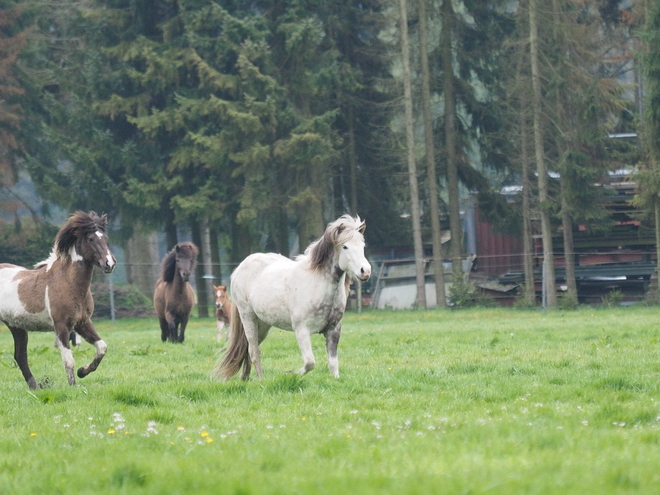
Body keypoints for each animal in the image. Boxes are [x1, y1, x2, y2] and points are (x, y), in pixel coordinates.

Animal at [0, 211, 116, 390]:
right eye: (91, 239)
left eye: (105, 238)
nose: (109, 263)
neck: (68, 283)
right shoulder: (61, 326)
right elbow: (68, 360)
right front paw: (73, 386)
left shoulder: (82, 322)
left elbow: (102, 347)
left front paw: (83, 371)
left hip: (16, 326)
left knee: (20, 356)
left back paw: (34, 386)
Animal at [215, 215, 372, 382]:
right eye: (345, 246)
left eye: (362, 246)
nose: (365, 271)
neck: (319, 285)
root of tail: (239, 268)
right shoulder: (301, 330)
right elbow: (310, 363)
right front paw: (290, 373)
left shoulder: (333, 329)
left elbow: (333, 363)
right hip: (248, 317)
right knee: (253, 350)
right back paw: (261, 379)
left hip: (262, 323)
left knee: (248, 348)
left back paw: (245, 377)